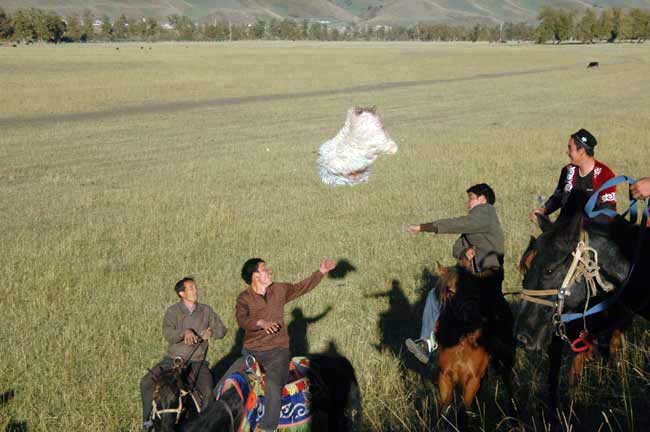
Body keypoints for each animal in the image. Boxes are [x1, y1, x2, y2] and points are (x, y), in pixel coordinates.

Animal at [432, 262, 512, 410]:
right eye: (450, 290)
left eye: (474, 292)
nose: (473, 319)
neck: (461, 342)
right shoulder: (444, 376)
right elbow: (445, 408)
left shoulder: (473, 380)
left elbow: (464, 409)